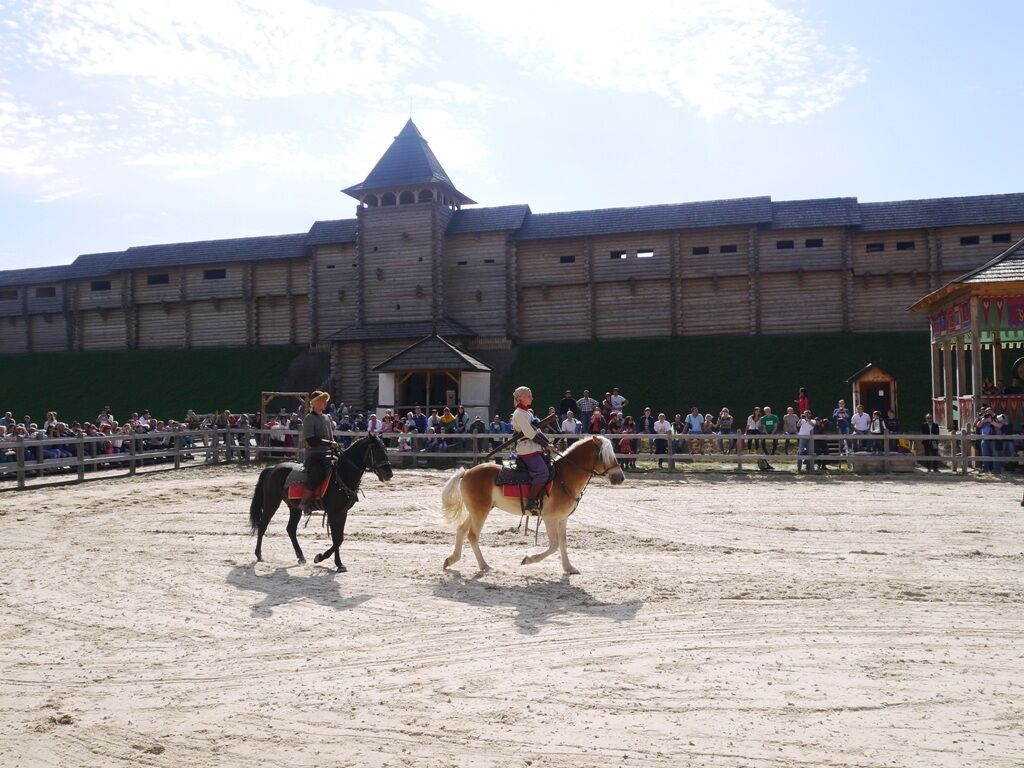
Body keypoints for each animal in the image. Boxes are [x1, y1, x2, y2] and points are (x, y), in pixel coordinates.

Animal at [438, 436, 618, 573]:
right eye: (606, 455)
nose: (620, 477)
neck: (564, 477)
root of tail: (467, 472)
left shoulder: (562, 518)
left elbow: (563, 542)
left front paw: (568, 567)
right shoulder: (549, 518)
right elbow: (554, 545)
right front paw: (528, 559)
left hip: (476, 512)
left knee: (461, 530)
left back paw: (451, 560)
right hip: (480, 512)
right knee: (472, 535)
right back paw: (484, 565)